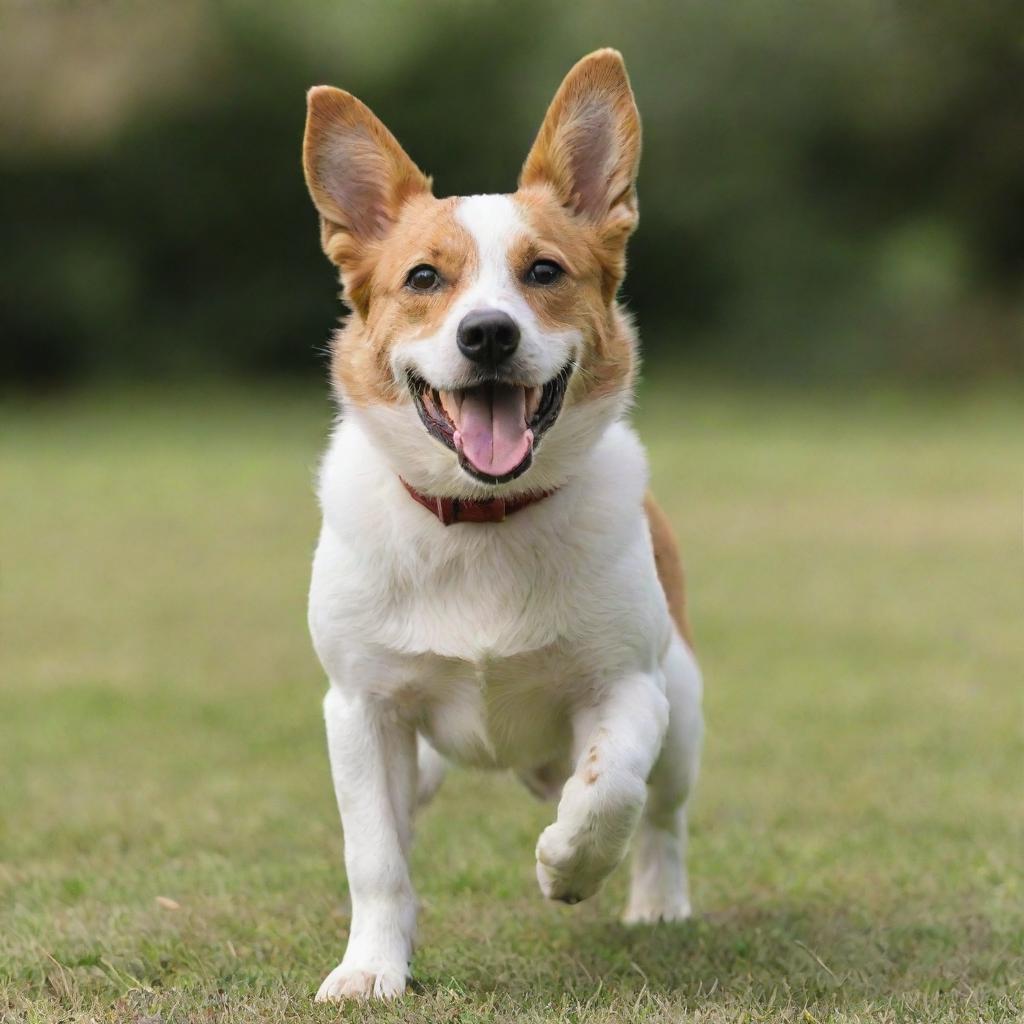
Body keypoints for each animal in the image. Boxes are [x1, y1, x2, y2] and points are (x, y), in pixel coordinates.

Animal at [301, 48, 704, 999]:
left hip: (685, 710)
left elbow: (609, 791)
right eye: (423, 278)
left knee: (661, 815)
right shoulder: (360, 710)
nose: (487, 334)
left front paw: (566, 865)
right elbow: (376, 859)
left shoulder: (629, 687)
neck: (481, 522)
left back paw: (656, 900)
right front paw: (372, 969)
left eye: (545, 271)